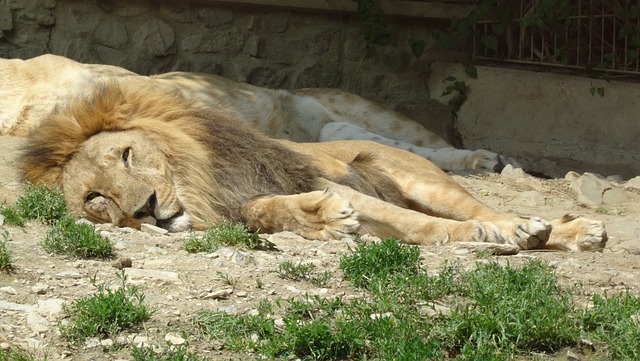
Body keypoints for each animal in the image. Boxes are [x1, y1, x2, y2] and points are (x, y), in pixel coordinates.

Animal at [16, 82, 604, 252]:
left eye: (127, 154)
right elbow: (267, 212)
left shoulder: (310, 172)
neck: (203, 188)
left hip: (419, 175)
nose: (147, 208)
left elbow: (417, 222)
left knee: (484, 207)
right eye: (96, 200)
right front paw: (319, 218)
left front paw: (483, 235)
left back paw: (553, 229)